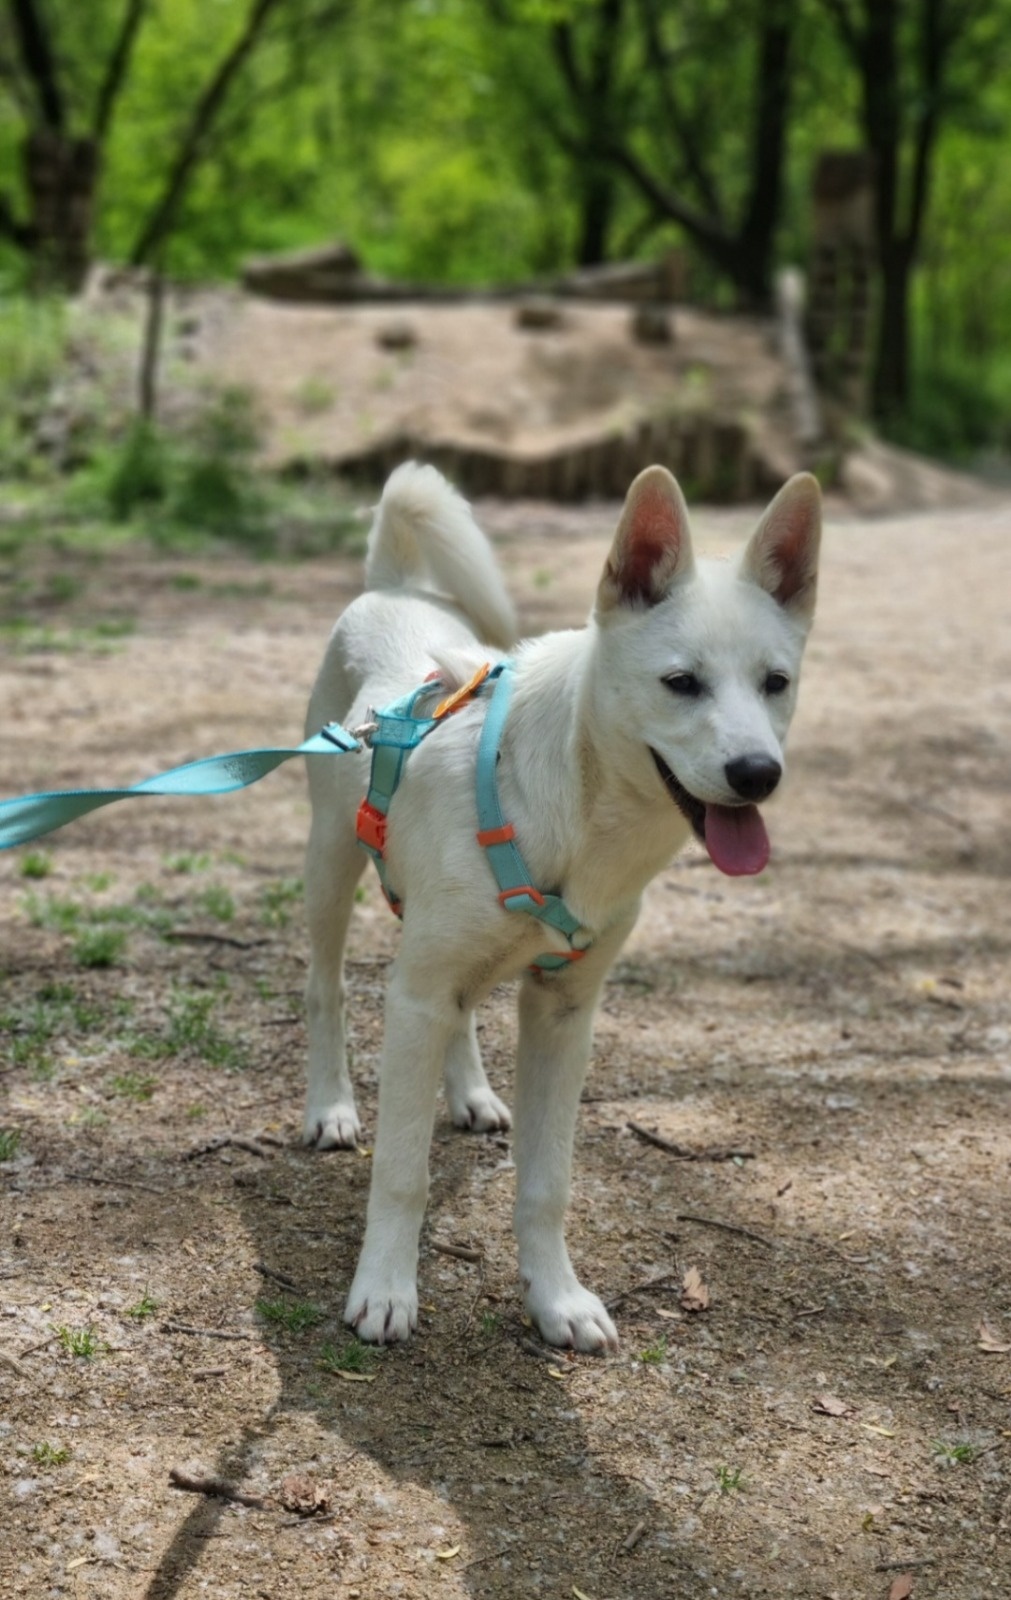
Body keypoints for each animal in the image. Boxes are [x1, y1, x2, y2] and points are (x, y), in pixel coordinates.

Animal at [302, 464, 819, 1350]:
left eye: (775, 683)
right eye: (681, 683)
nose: (757, 773)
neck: (574, 815)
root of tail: (392, 587)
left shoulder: (563, 1011)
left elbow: (547, 1183)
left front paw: (556, 1299)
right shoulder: (416, 997)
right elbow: (402, 1171)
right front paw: (384, 1291)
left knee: (462, 1014)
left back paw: (471, 1095)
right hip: (332, 870)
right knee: (330, 989)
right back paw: (330, 1105)